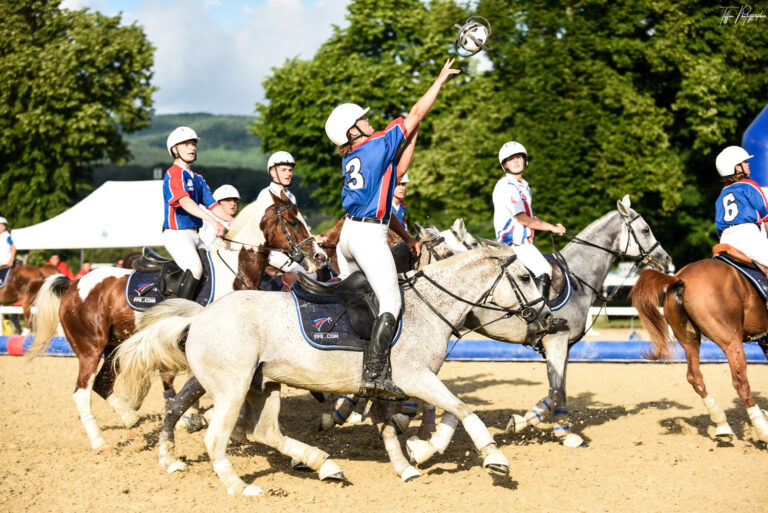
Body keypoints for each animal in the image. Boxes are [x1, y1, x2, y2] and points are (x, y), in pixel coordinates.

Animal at [27, 190, 326, 454]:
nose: (319, 257)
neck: (234, 271)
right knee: (82, 393)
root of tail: (73, 284)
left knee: (103, 385)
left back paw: (131, 421)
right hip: (90, 349)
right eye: (292, 222)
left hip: (115, 347)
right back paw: (101, 443)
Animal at [112, 246, 544, 494]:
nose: (545, 320)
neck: (428, 308)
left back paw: (324, 464)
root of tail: (200, 317)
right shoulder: (415, 378)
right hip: (233, 388)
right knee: (215, 436)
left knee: (265, 431)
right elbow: (461, 409)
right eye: (525, 277)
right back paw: (239, 487)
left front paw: (409, 465)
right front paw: (493, 458)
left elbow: (398, 426)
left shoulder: (383, 386)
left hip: (262, 385)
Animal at [632, 256, 768, 444]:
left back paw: (722, 424)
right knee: (740, 382)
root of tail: (680, 279)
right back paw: (762, 431)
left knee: (695, 377)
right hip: (730, 341)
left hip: (689, 341)